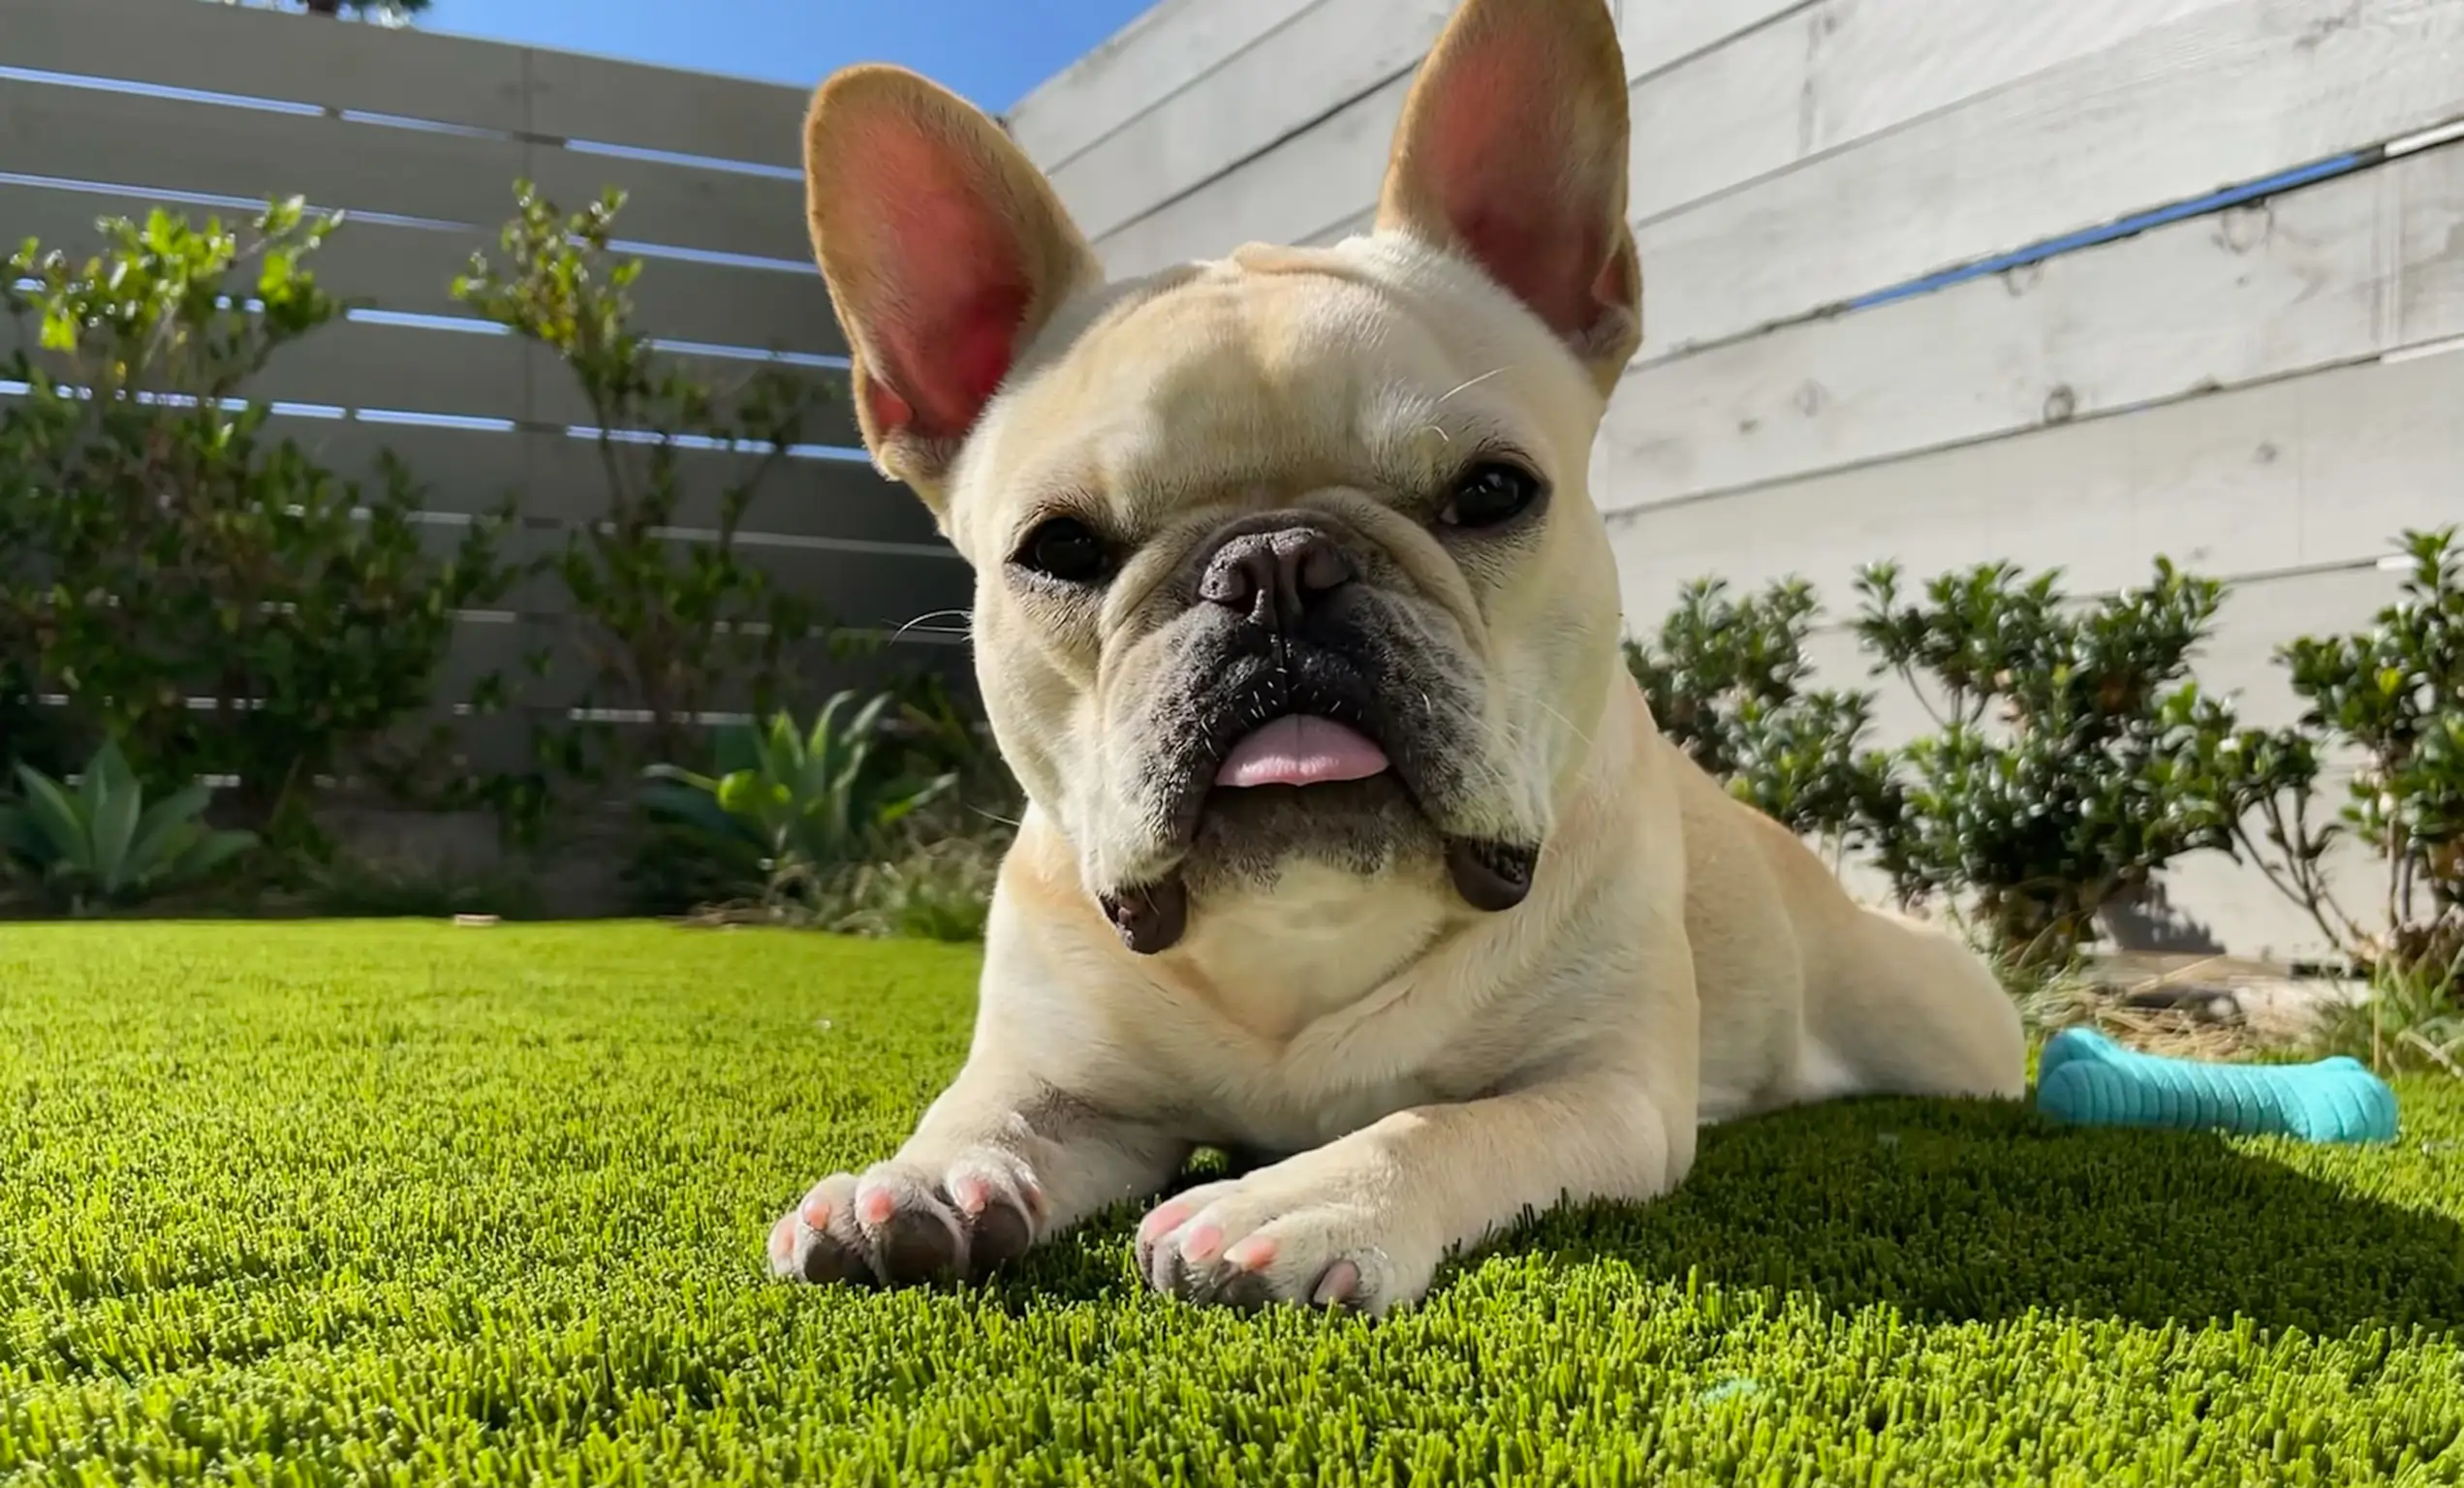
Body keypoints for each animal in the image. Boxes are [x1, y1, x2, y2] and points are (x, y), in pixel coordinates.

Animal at [764, 0, 2020, 1310]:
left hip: (1934, 1022)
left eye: (1492, 492)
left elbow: (1446, 1123)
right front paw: (912, 1183)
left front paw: (1295, 1201)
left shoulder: (1603, 1093)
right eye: (1057, 546)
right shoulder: (1064, 1084)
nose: (1273, 566)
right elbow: (980, 1115)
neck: (1306, 926)